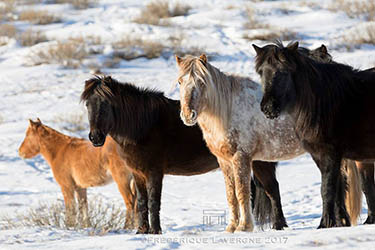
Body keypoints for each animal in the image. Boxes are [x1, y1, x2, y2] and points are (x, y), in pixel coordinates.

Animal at [80, 75, 284, 233]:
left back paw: (278, 226)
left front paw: (155, 231)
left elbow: (153, 202)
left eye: (105, 104)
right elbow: (141, 203)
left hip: (260, 163)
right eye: (88, 105)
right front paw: (141, 231)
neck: (143, 126)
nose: (95, 137)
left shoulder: (154, 172)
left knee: (272, 189)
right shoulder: (138, 174)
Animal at [176, 53, 362, 231]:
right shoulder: (225, 161)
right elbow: (231, 194)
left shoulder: (241, 158)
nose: (188, 115)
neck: (228, 110)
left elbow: (242, 192)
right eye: (180, 81)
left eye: (201, 82)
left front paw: (244, 227)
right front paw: (231, 227)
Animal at [253, 41, 375, 229]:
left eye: (283, 72)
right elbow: (336, 189)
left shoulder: (331, 154)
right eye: (261, 72)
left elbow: (327, 189)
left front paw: (325, 223)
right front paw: (335, 222)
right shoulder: (320, 155)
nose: (268, 108)